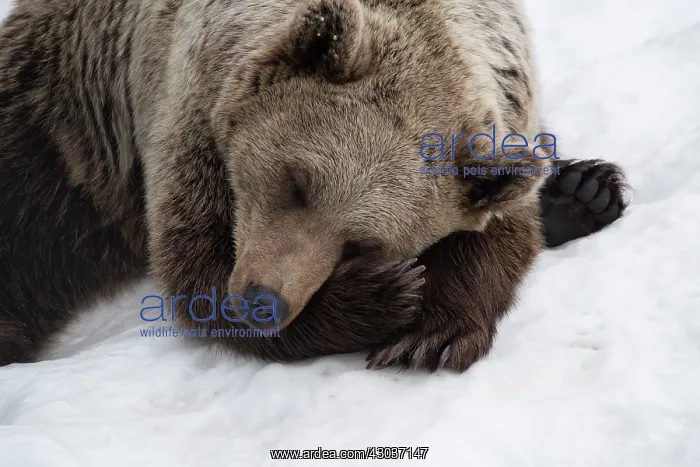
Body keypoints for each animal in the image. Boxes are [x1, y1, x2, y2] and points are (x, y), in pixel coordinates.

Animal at [0, 0, 627, 371]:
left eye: (363, 243)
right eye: (297, 182)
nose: (263, 301)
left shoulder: (502, 119)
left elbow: (498, 234)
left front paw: (433, 335)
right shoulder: (191, 114)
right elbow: (191, 264)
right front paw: (381, 298)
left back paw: (585, 191)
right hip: (62, 117)